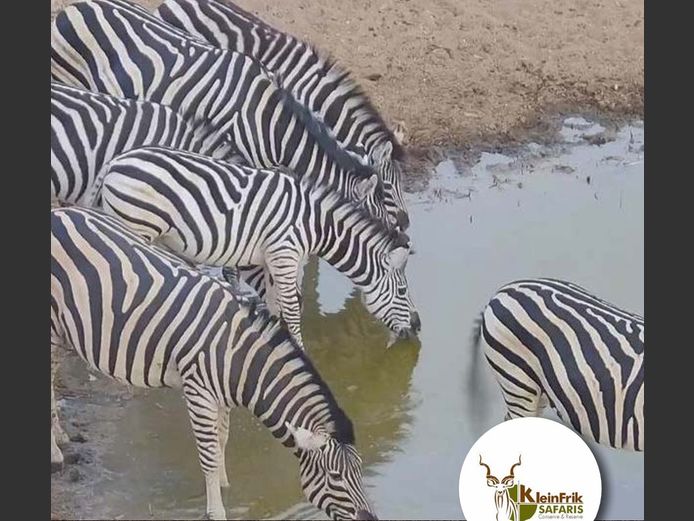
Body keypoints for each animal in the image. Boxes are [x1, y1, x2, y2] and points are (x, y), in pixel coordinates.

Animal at [51, 206, 378, 521]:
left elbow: (221, 440)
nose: (369, 519)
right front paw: (216, 510)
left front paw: (223, 485)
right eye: (335, 477)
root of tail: (60, 213)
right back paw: (56, 452)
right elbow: (207, 453)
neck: (241, 358)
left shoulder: (222, 396)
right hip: (53, 327)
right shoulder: (199, 392)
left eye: (359, 471)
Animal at [99, 146, 420, 347]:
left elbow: (276, 305)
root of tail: (115, 163)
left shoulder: (271, 260)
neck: (316, 225)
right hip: (137, 225)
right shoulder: (285, 255)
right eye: (402, 291)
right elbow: (292, 311)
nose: (418, 327)